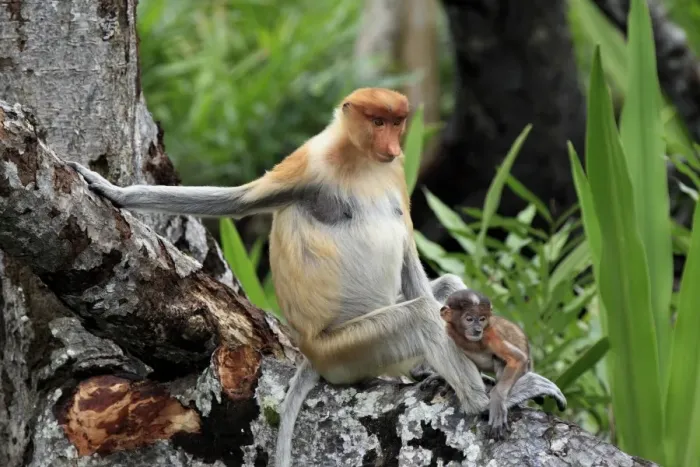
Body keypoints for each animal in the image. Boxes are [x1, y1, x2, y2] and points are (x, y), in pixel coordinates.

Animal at [440, 288, 543, 440]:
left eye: (482, 319)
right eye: (469, 319)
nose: (478, 329)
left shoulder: (491, 335)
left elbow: (518, 359)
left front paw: (497, 400)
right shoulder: (450, 334)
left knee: (500, 360)